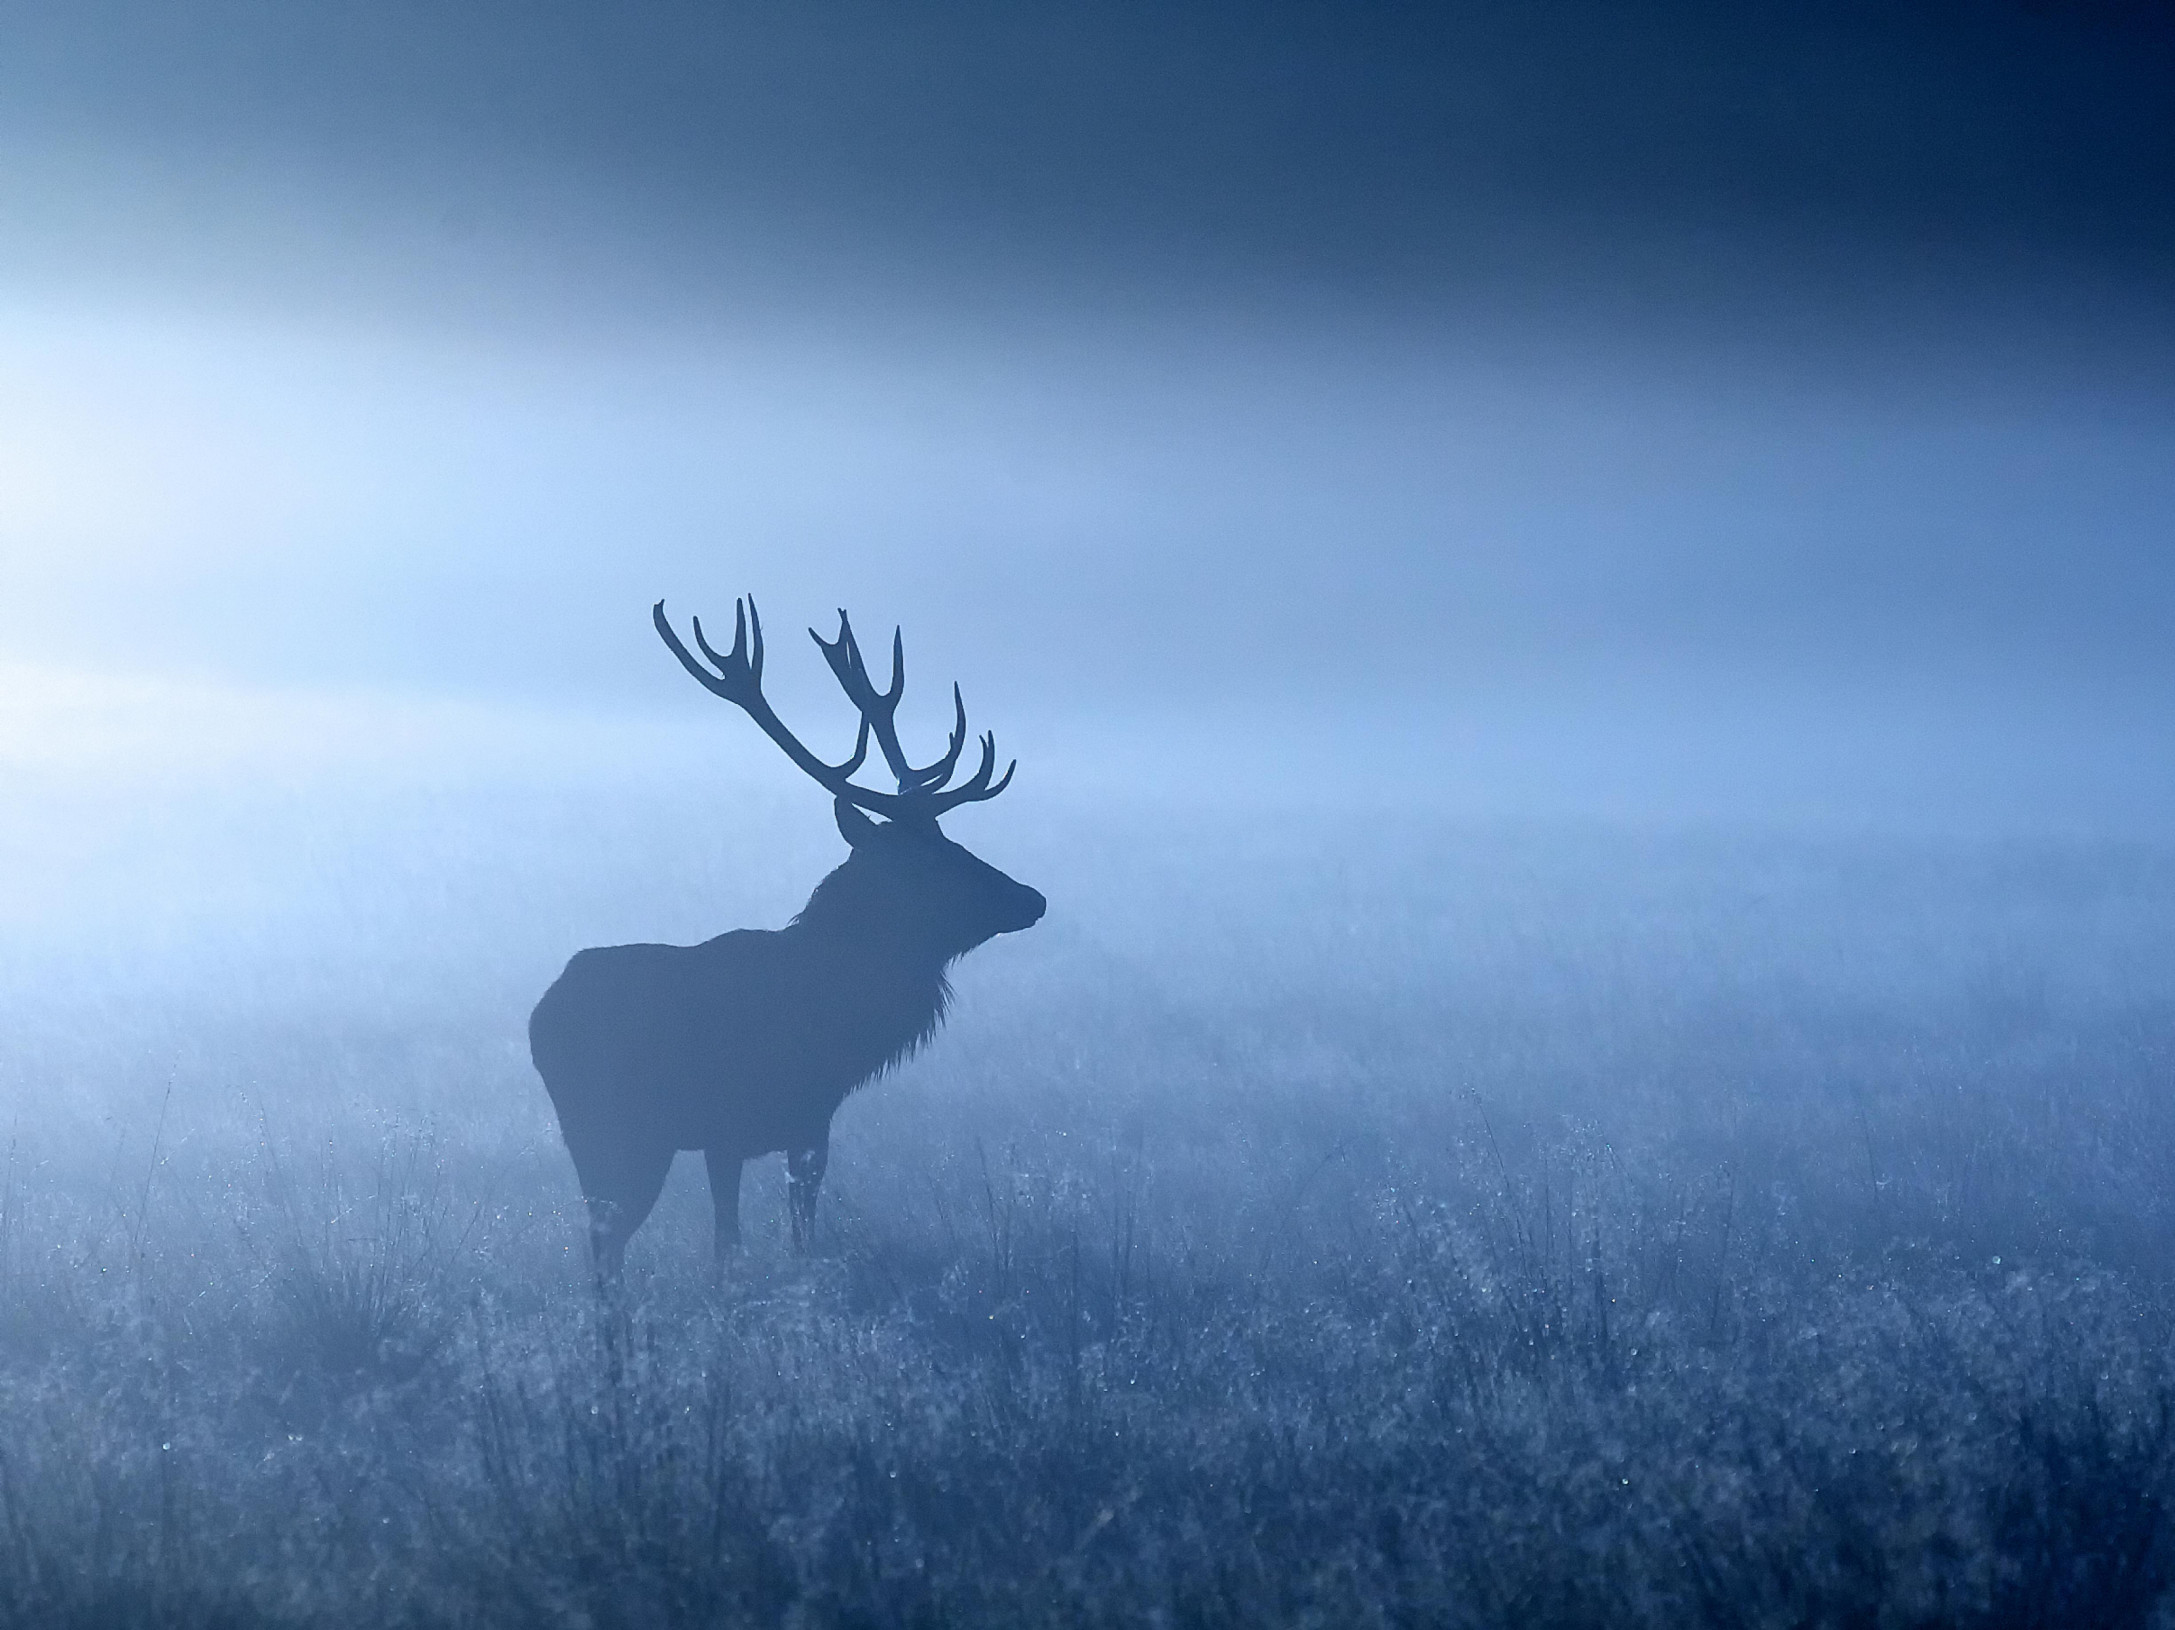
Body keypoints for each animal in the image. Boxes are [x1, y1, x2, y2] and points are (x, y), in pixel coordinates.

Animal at [529, 597, 1045, 1279]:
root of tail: (540, 1015)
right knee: (606, 1247)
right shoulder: (727, 1128)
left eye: (954, 843)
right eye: (932, 860)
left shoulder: (810, 1125)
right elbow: (728, 1246)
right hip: (619, 1128)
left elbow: (800, 1234)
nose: (1033, 898)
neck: (837, 1027)